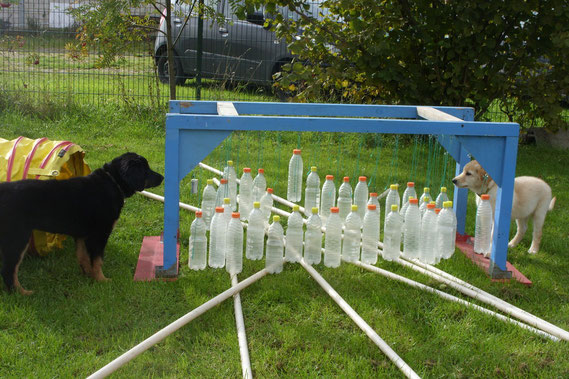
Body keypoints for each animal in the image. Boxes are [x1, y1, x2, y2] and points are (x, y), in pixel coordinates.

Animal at [0, 153, 163, 296]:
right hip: (17, 236)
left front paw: (88, 275)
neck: (113, 182)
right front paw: (102, 280)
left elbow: (83, 256)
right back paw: (22, 292)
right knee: (9, 269)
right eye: (145, 170)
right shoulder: (100, 234)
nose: (162, 177)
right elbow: (97, 260)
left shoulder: (82, 235)